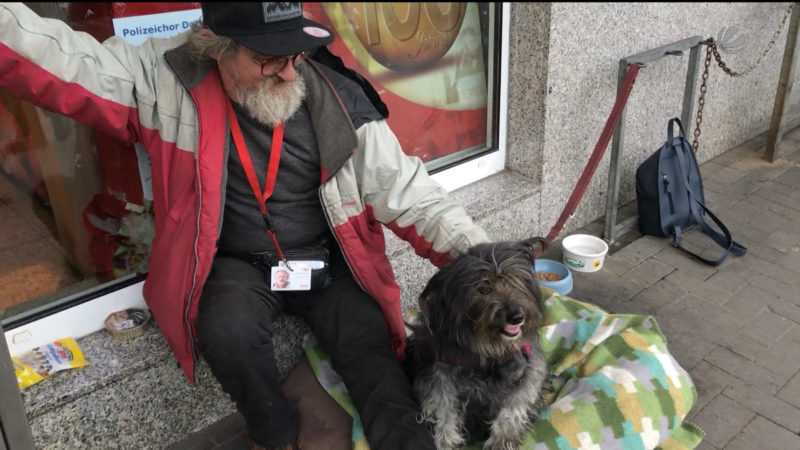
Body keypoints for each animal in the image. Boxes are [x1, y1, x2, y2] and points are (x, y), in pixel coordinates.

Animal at [406, 237, 552, 448]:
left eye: (515, 279)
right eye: (484, 289)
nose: (517, 317)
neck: (489, 350)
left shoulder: (530, 366)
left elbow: (518, 401)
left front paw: (503, 438)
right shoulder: (439, 373)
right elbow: (443, 408)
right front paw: (446, 441)